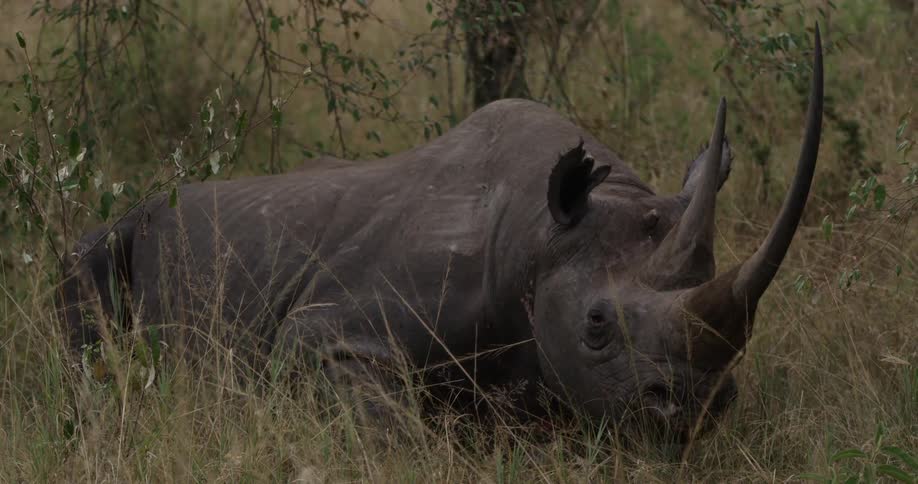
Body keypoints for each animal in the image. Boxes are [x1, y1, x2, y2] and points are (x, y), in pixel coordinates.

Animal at [59, 28, 823, 437]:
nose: (694, 411)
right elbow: (385, 421)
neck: (540, 238)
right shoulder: (324, 329)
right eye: (597, 325)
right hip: (126, 227)